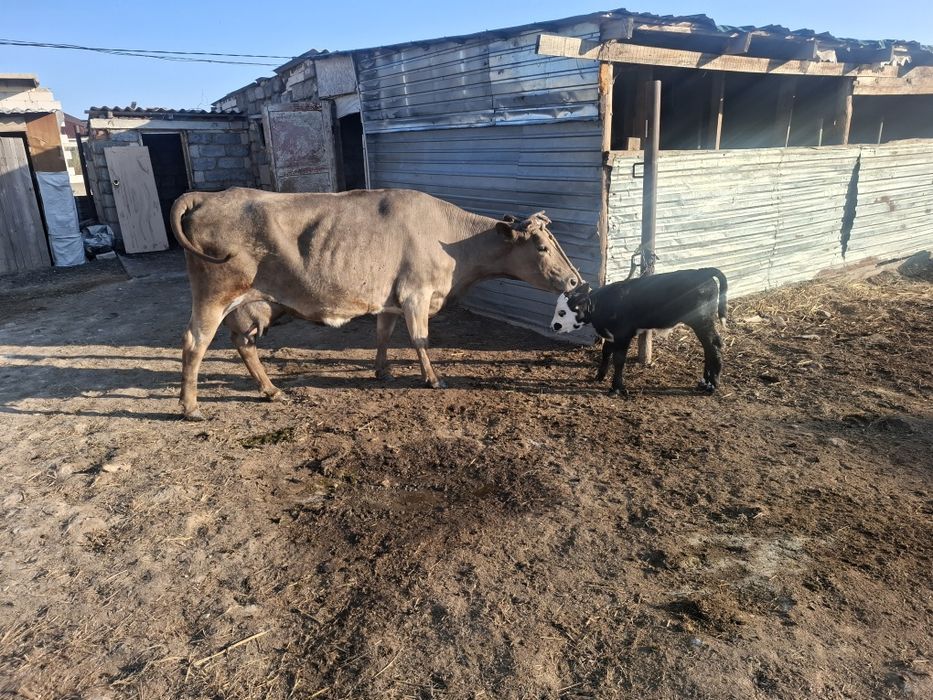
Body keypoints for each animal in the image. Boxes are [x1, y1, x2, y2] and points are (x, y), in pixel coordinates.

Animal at [170, 187, 583, 420]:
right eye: (542, 247)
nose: (576, 280)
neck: (452, 242)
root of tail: (210, 194)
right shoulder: (416, 293)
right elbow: (420, 340)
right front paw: (433, 379)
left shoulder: (389, 300)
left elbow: (384, 334)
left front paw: (382, 371)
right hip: (214, 293)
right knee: (194, 344)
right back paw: (191, 408)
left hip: (250, 306)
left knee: (244, 344)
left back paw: (270, 390)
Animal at [550, 268, 728, 396]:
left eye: (562, 312)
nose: (554, 326)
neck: (601, 304)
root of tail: (702, 272)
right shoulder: (611, 335)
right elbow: (606, 353)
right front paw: (599, 377)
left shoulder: (623, 335)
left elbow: (619, 359)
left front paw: (616, 388)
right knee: (708, 347)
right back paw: (704, 382)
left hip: (702, 321)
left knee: (714, 345)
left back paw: (712, 384)